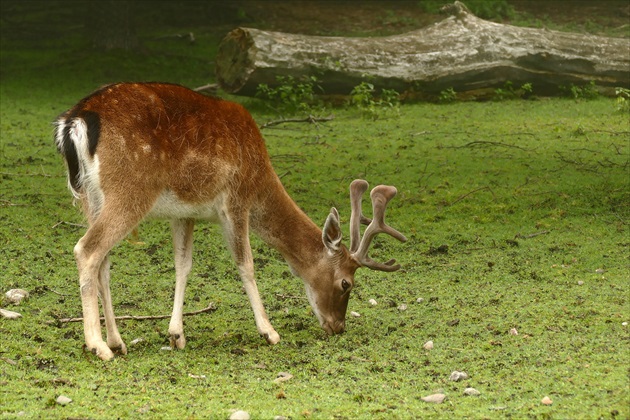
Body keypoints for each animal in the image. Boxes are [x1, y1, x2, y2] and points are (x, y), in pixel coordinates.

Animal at [55, 83, 410, 360]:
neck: (262, 176)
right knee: (86, 249)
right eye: (346, 283)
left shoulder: (184, 213)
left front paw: (176, 335)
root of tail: (74, 120)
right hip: (130, 190)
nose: (338, 326)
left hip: (92, 197)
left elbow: (183, 265)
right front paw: (270, 332)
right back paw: (98, 346)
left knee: (103, 262)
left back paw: (117, 341)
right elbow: (246, 264)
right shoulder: (237, 200)